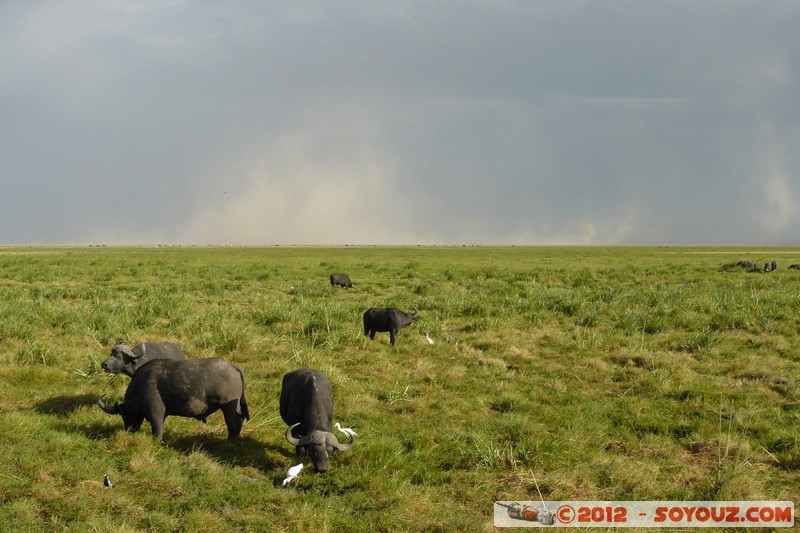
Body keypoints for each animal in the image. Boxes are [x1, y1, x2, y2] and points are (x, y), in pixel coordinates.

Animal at [98, 358, 249, 440]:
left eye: (124, 414)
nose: (129, 430)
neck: (141, 383)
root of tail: (232, 366)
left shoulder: (156, 411)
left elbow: (157, 428)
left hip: (228, 407)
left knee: (234, 422)